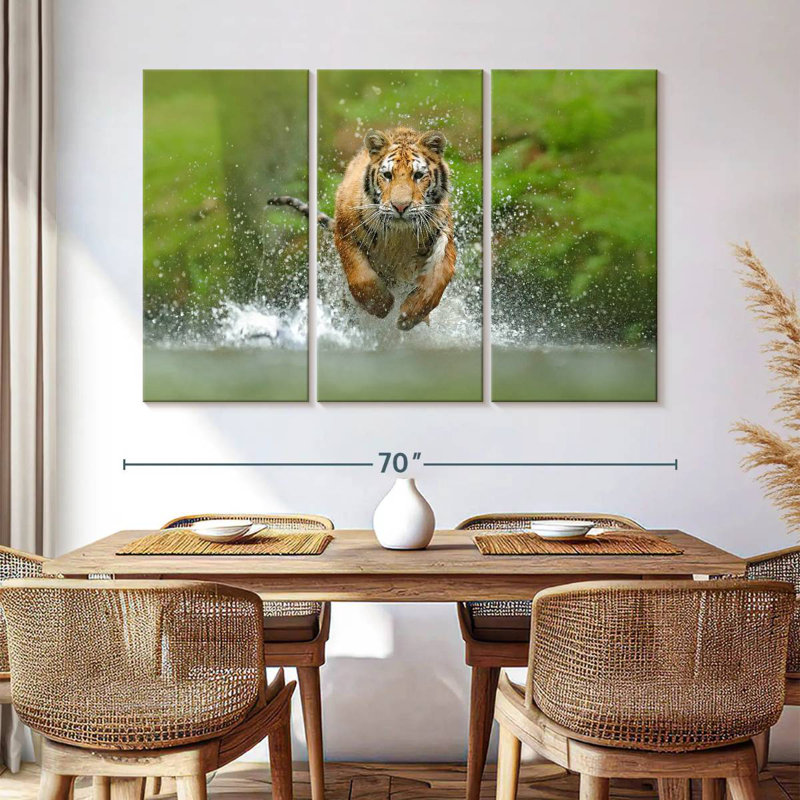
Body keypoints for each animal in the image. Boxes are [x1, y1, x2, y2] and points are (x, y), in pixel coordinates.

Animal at [270, 127, 456, 330]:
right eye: (388, 175)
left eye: (418, 175)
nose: (400, 207)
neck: (399, 234)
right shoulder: (345, 234)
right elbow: (361, 276)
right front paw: (381, 305)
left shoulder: (443, 233)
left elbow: (439, 277)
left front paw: (410, 315)